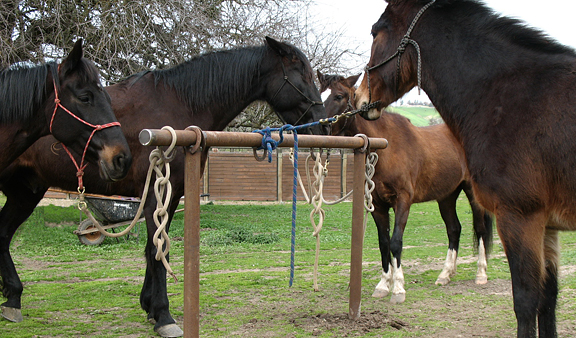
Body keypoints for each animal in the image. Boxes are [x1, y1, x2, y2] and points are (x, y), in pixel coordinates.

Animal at [318, 70, 492, 304]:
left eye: (338, 96)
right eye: (319, 94)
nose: (319, 126)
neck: (387, 147)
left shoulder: (403, 201)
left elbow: (395, 242)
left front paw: (398, 289)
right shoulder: (378, 206)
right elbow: (383, 243)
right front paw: (383, 285)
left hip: (472, 193)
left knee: (481, 230)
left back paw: (481, 274)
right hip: (446, 196)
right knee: (454, 229)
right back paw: (445, 274)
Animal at [354, 0, 576, 336]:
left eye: (375, 32)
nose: (359, 97)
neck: (507, 96)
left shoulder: (520, 218)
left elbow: (526, 301)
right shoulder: (548, 226)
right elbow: (548, 301)